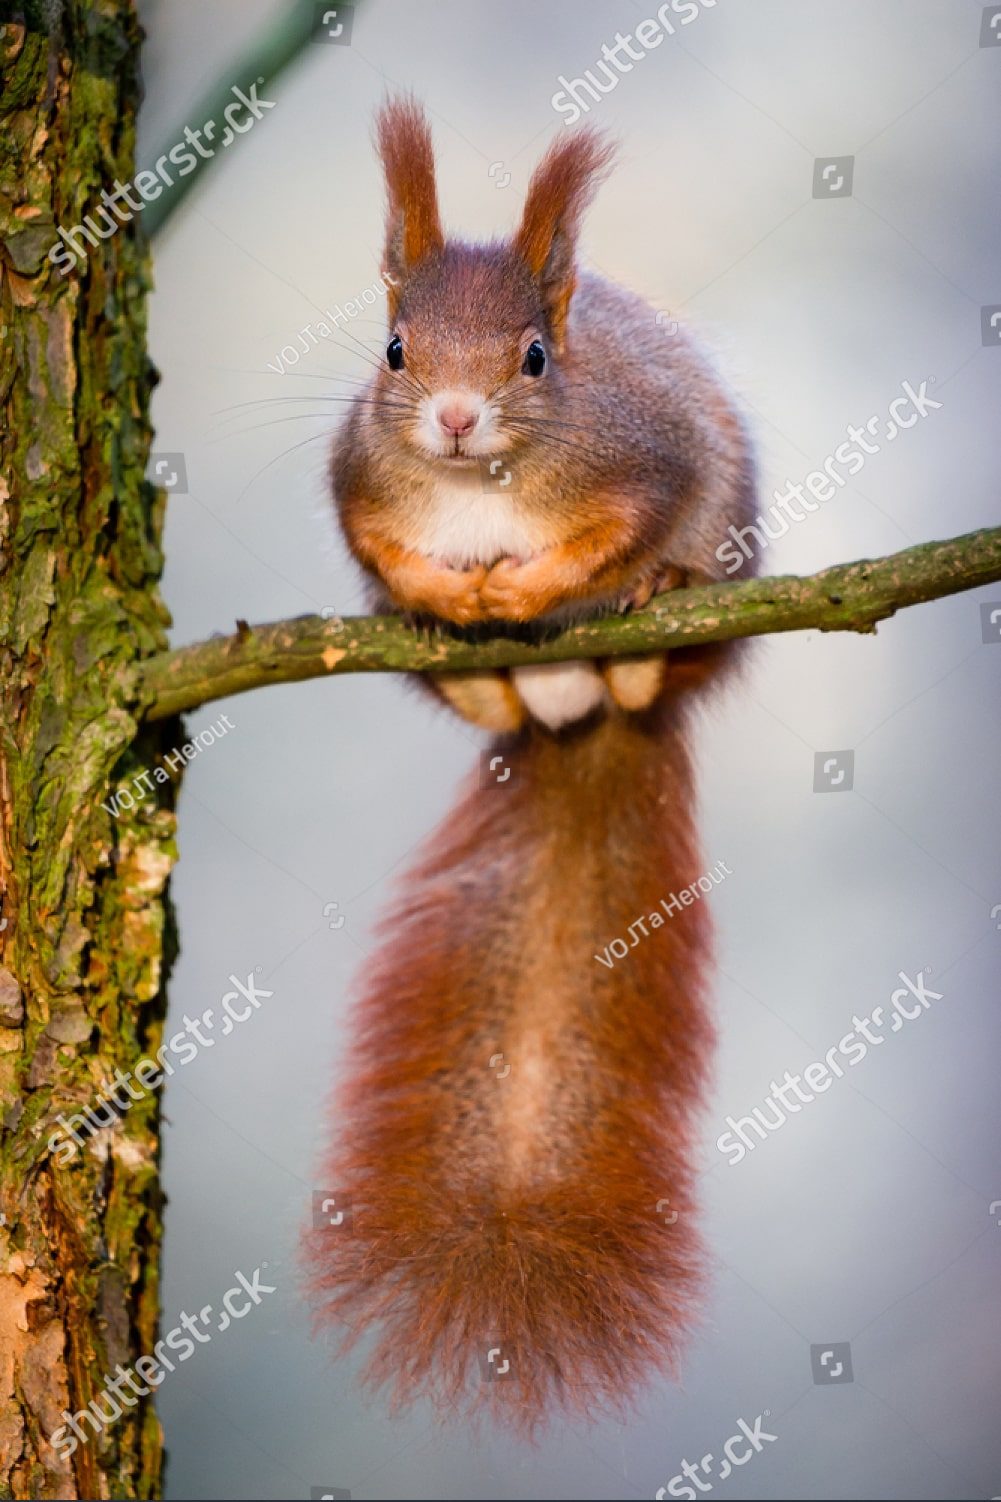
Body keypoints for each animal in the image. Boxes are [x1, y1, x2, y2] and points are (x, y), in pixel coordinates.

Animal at [306, 95, 757, 1429]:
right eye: (395, 351)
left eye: (536, 359)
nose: (455, 419)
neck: (478, 482)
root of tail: (575, 713)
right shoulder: (354, 479)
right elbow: (376, 539)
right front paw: (444, 589)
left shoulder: (644, 455)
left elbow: (611, 528)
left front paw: (528, 585)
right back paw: (472, 661)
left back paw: (644, 625)